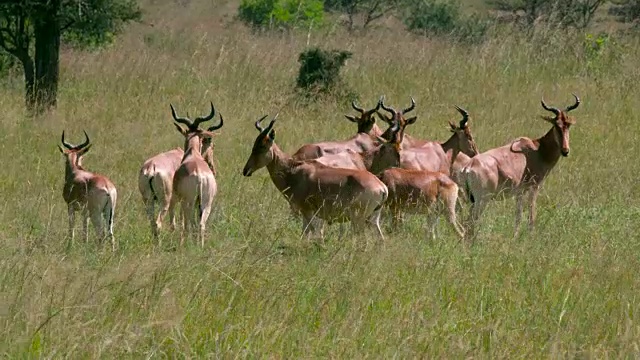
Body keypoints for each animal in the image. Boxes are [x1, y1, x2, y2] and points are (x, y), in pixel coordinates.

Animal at [168, 101, 222, 248]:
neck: (193, 153)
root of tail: (200, 176)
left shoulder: (179, 197)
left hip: (189, 201)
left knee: (190, 222)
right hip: (206, 202)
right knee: (201, 224)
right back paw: (200, 246)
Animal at [242, 114, 388, 240]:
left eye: (262, 145)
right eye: (254, 144)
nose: (246, 170)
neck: (294, 169)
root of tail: (382, 188)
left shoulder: (307, 211)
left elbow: (308, 233)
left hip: (358, 219)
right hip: (373, 218)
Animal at [462, 94, 584, 242]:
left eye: (568, 125)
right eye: (556, 125)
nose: (565, 151)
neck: (537, 149)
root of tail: (468, 167)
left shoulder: (520, 192)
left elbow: (518, 215)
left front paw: (515, 237)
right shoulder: (534, 187)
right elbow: (532, 213)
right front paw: (531, 236)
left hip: (472, 199)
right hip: (482, 200)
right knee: (471, 221)